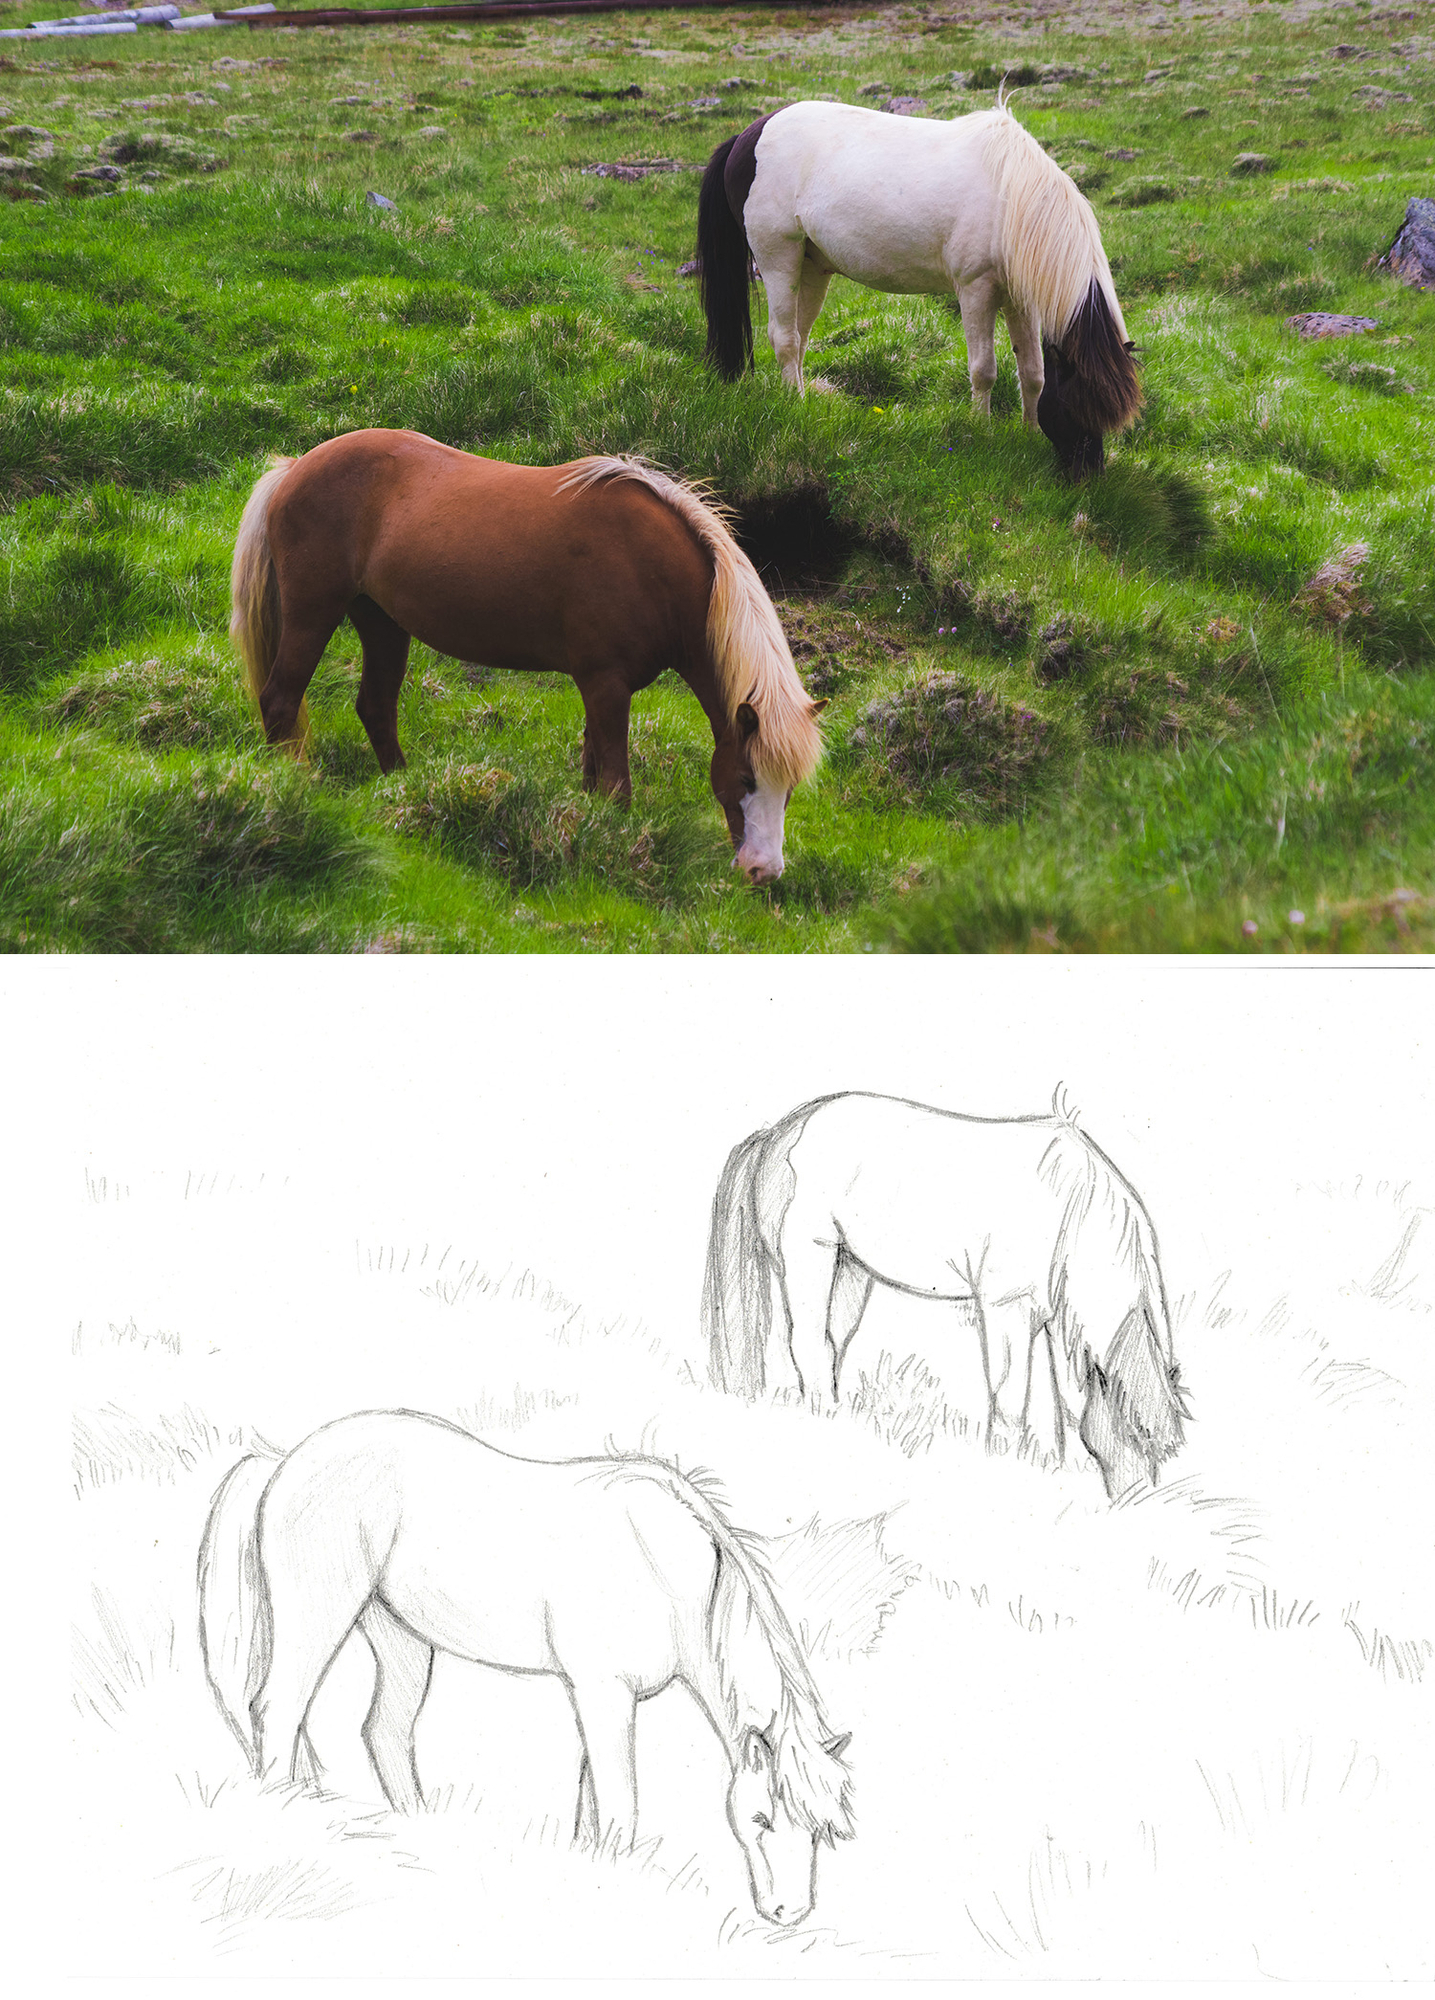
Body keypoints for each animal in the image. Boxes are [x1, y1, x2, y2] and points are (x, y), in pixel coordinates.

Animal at [197, 1409, 854, 1926]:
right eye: (761, 1818)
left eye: (822, 1828)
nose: (789, 1913)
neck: (668, 1565)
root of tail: (283, 1460)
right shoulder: (604, 1693)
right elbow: (620, 1801)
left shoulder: (599, 1698)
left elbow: (594, 1798)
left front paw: (595, 1872)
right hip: (319, 1615)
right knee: (280, 1709)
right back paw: (286, 1820)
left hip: (399, 1635)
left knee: (384, 1731)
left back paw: (423, 1835)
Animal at [230, 432, 825, 884]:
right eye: (746, 777)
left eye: (791, 788)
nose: (764, 872)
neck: (651, 565)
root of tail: (294, 469)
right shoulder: (605, 684)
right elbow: (615, 785)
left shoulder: (599, 690)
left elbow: (592, 771)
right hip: (313, 612)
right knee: (280, 699)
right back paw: (296, 788)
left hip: (381, 623)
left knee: (375, 707)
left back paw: (404, 789)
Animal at [697, 95, 1141, 478]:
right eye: (1076, 406)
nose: (1088, 476)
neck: (1012, 198)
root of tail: (748, 136)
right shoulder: (976, 290)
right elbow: (984, 370)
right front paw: (982, 433)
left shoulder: (1021, 301)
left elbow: (1033, 372)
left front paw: (1029, 433)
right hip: (779, 258)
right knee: (785, 338)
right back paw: (797, 405)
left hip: (812, 268)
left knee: (798, 338)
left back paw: (800, 403)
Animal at [702, 1091, 1188, 1499]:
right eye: (1126, 1435)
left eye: (1163, 1451)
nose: (1132, 1502)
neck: (1068, 1201)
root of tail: (782, 1130)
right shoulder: (1005, 1309)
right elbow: (1009, 1397)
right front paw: (1004, 1465)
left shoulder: (1045, 1316)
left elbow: (1050, 1407)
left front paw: (1046, 1466)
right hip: (812, 1259)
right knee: (806, 1343)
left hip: (851, 1270)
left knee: (830, 1343)